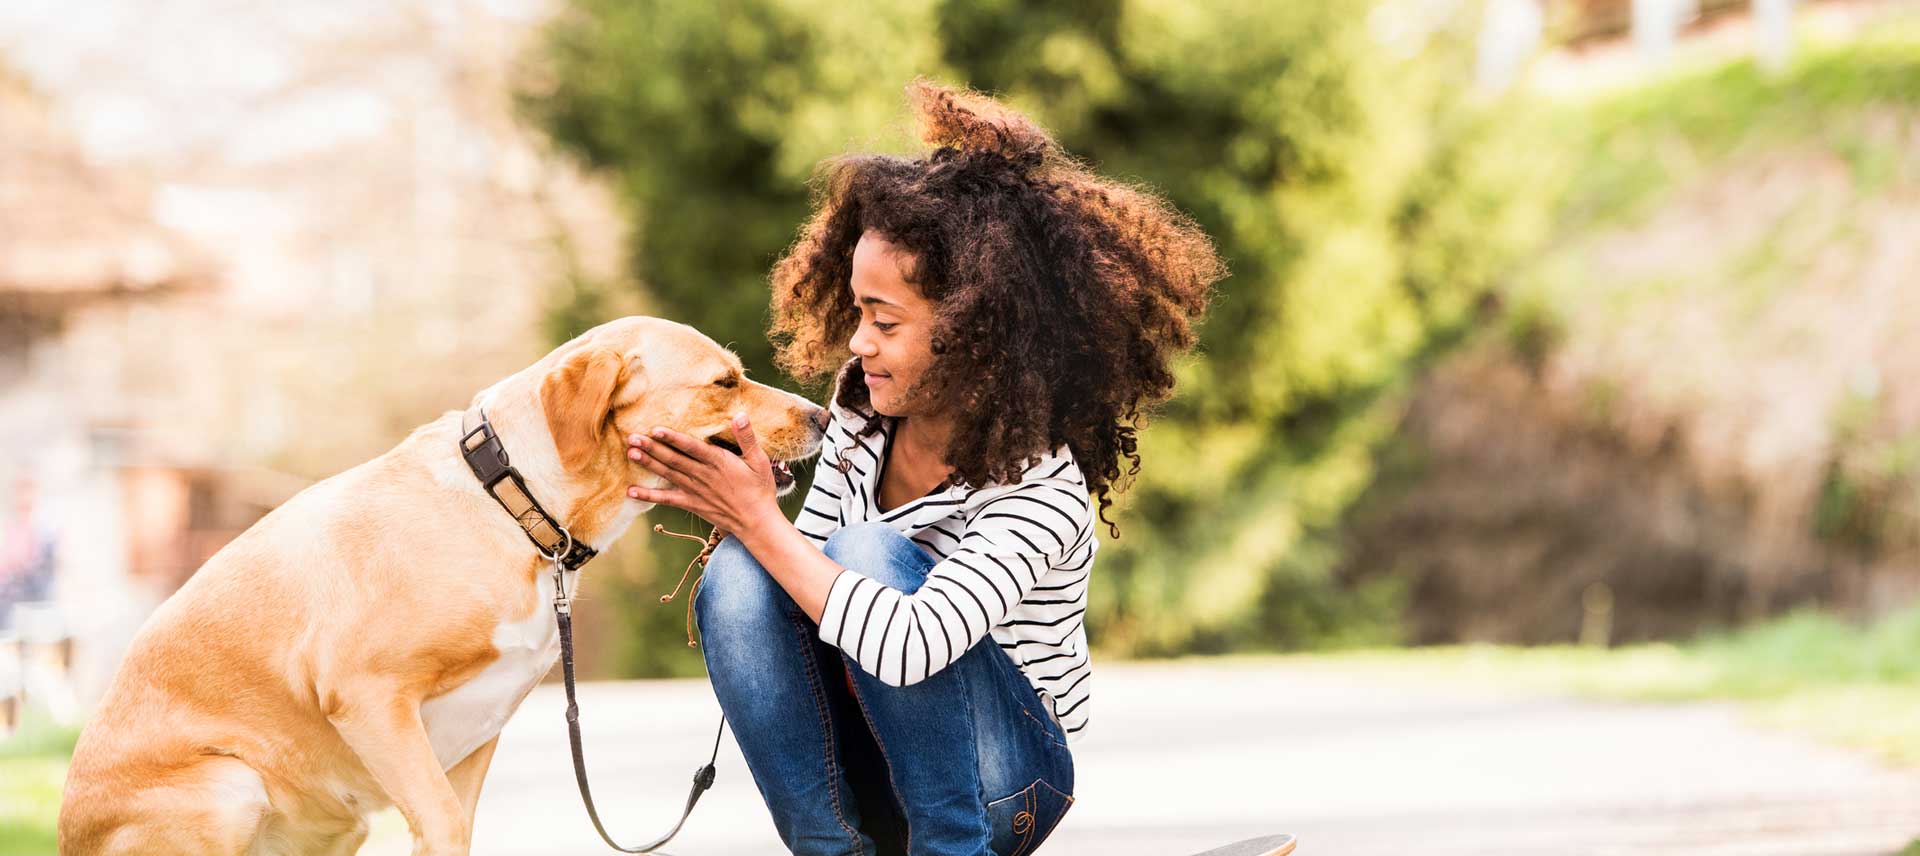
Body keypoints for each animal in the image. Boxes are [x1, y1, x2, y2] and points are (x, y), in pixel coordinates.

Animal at [58, 318, 825, 852]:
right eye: (723, 383)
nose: (823, 415)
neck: (513, 504)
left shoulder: (478, 732)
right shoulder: (368, 697)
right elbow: (444, 822)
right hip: (232, 785)